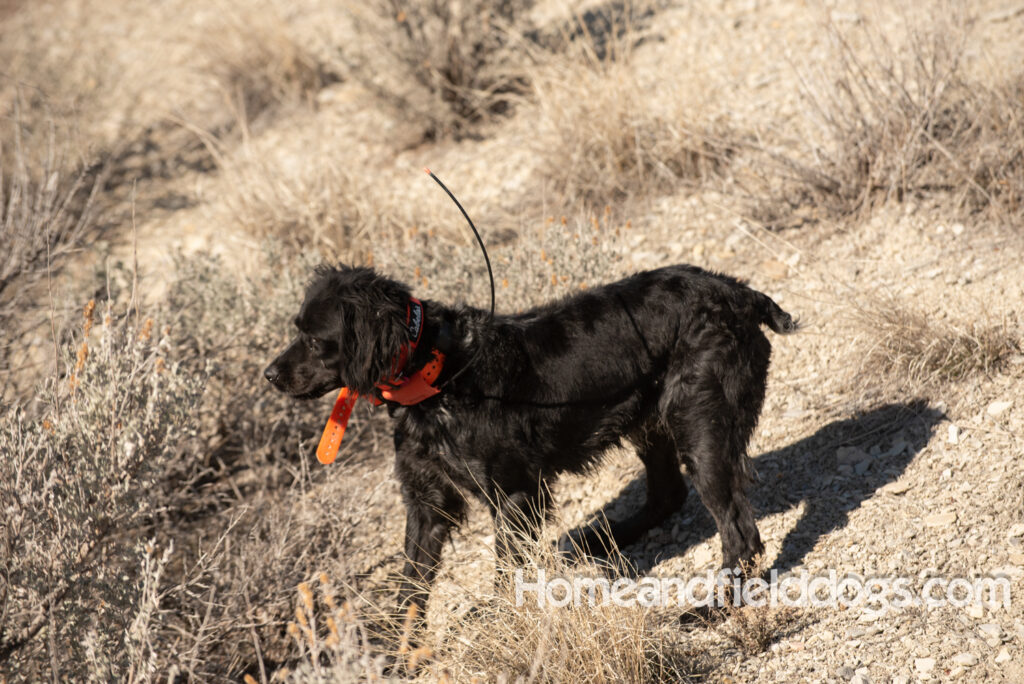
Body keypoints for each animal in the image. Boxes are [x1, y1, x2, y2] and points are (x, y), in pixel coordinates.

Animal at [266, 264, 798, 622]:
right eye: (297, 331)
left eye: (314, 341)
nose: (269, 374)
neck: (436, 373)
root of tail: (738, 293)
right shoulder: (427, 502)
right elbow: (409, 587)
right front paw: (394, 653)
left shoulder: (515, 496)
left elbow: (504, 574)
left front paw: (497, 618)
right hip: (652, 421)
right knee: (669, 494)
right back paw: (597, 541)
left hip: (699, 426)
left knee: (739, 532)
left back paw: (717, 607)